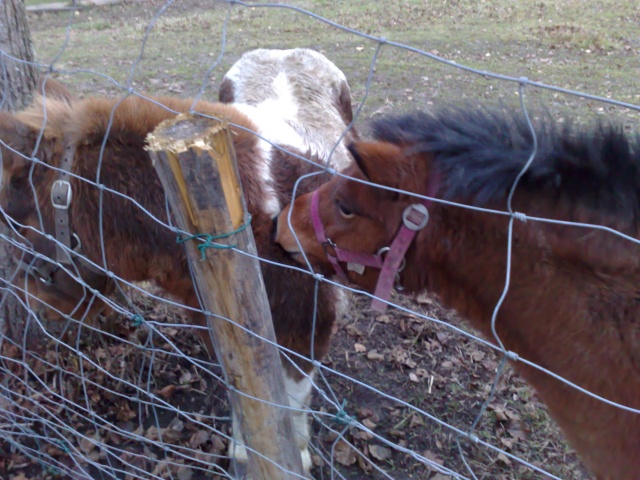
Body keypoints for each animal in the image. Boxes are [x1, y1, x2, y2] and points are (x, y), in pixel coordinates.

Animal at [0, 47, 360, 472]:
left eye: (17, 223)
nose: (33, 302)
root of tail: (283, 52)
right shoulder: (216, 323)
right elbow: (246, 389)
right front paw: (246, 448)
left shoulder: (308, 329)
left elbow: (292, 400)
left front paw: (294, 456)